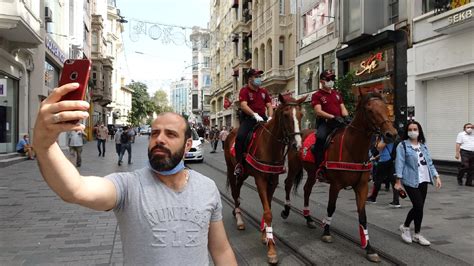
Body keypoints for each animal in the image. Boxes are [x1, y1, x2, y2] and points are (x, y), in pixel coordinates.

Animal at [225, 94, 308, 264]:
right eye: (285, 115)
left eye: (301, 115)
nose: (297, 145)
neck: (270, 146)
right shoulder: (260, 180)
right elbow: (268, 212)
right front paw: (271, 250)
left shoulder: (273, 181)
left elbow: (267, 208)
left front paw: (265, 236)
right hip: (232, 170)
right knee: (235, 193)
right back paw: (239, 219)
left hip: (243, 174)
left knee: (238, 191)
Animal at [282, 93, 396, 262]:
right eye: (370, 110)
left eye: (385, 107)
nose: (391, 134)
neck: (352, 148)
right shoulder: (335, 185)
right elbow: (331, 207)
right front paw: (326, 232)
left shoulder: (361, 187)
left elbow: (363, 216)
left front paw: (368, 248)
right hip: (294, 167)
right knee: (288, 184)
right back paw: (286, 210)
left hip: (312, 173)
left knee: (307, 189)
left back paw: (308, 218)